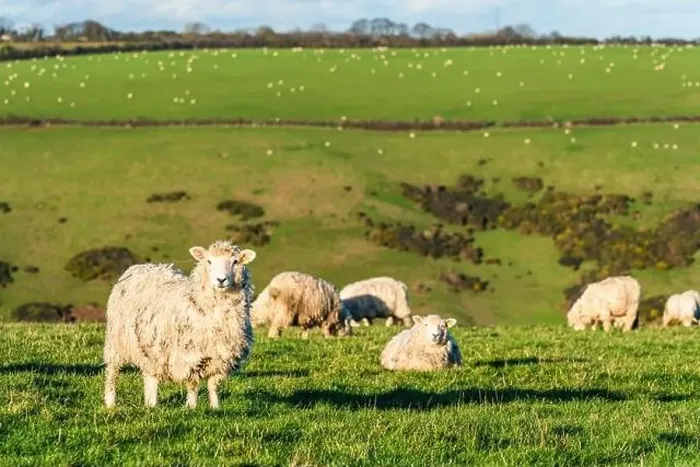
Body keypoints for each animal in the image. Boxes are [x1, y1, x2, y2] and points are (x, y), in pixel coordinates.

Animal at [103, 240, 257, 409]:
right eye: (209, 261)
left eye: (235, 261)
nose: (221, 280)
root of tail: (141, 267)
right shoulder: (188, 355)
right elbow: (192, 384)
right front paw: (192, 407)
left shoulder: (221, 357)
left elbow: (213, 384)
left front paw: (215, 407)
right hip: (117, 340)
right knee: (112, 371)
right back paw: (110, 402)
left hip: (150, 344)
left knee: (150, 375)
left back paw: (151, 403)